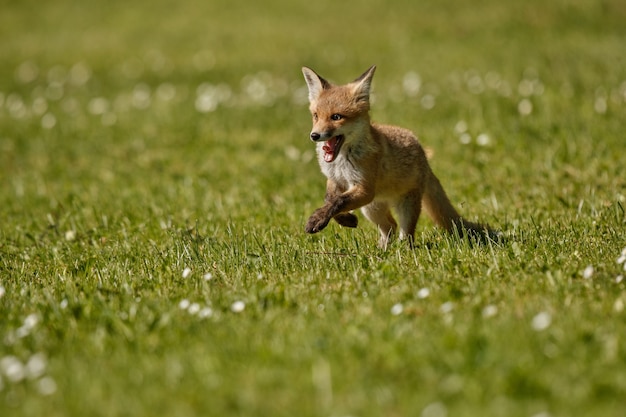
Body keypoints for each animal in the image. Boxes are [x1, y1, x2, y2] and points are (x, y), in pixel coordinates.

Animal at [300, 65, 494, 247]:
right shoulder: (336, 180)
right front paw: (344, 219)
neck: (341, 162)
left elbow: (338, 201)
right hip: (372, 208)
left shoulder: (364, 189)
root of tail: (423, 154)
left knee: (405, 234)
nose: (314, 135)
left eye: (336, 117)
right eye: (316, 116)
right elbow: (330, 199)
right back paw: (382, 250)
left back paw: (404, 249)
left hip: (404, 207)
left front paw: (318, 219)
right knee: (390, 227)